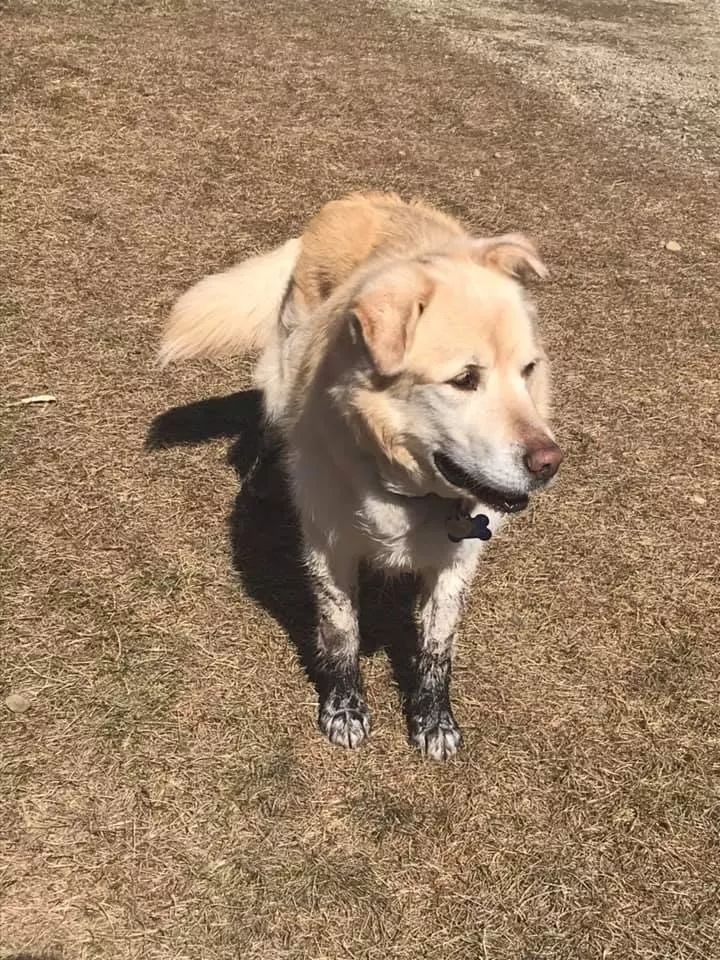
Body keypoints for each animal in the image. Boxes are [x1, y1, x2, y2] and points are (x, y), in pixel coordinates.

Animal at [162, 193, 564, 756]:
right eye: (465, 379)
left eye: (529, 370)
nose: (549, 462)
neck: (407, 489)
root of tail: (351, 201)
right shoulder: (329, 548)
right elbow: (341, 632)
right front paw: (344, 709)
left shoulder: (457, 562)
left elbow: (438, 645)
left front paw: (433, 720)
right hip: (283, 367)